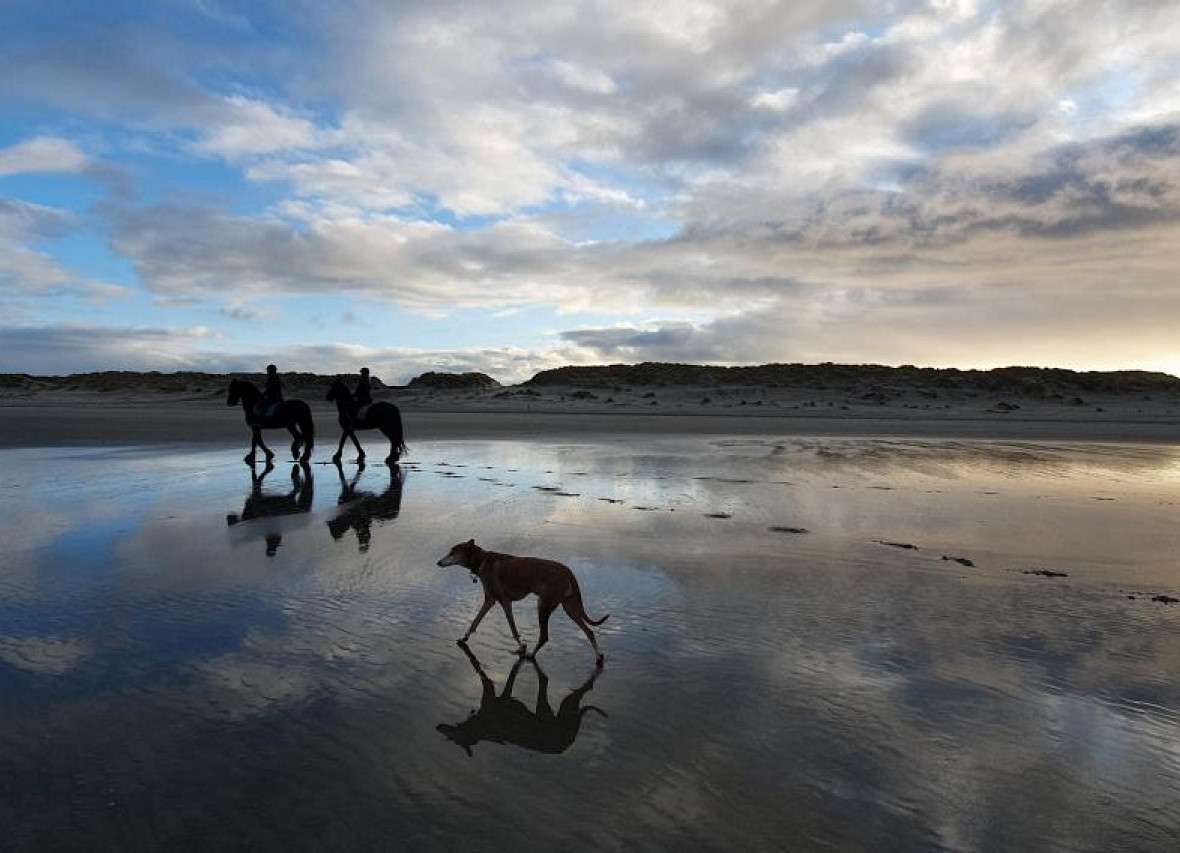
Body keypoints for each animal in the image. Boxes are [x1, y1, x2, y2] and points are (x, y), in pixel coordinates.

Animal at [438, 540, 613, 660]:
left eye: (453, 552)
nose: (438, 562)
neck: (482, 560)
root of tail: (567, 570)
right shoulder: (490, 601)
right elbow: (475, 622)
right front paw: (464, 638)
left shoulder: (502, 601)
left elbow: (512, 628)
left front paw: (522, 646)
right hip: (570, 606)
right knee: (589, 631)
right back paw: (599, 655)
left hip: (543, 605)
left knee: (544, 636)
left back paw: (531, 654)